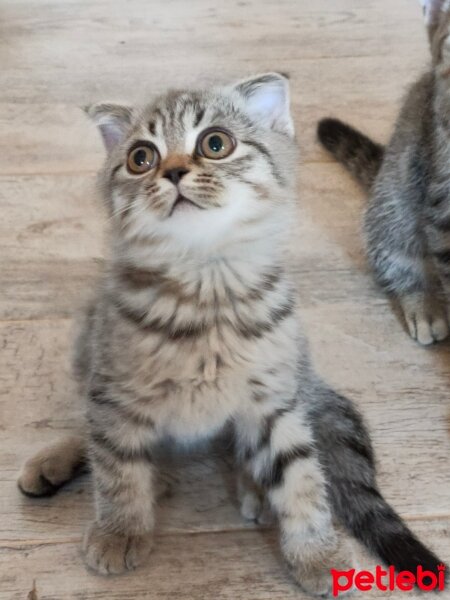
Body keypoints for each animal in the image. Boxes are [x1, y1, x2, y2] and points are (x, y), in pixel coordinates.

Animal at [18, 72, 442, 592]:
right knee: (96, 426)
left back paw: (252, 489)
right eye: (141, 157)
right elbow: (116, 462)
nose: (173, 172)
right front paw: (120, 529)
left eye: (215, 144)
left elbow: (300, 476)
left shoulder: (274, 401)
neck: (206, 287)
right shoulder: (115, 389)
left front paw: (317, 554)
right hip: (88, 339)